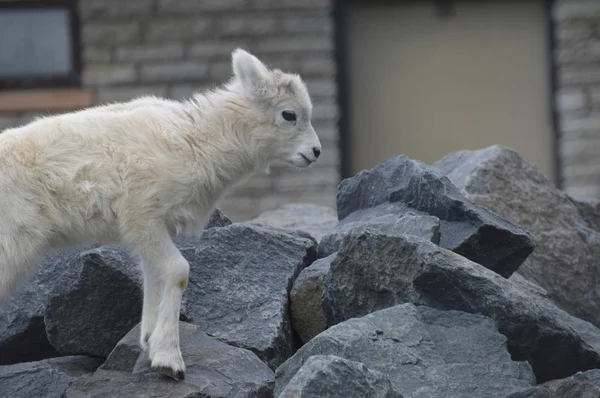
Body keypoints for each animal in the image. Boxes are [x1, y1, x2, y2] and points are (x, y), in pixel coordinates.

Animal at [0, 49, 322, 380]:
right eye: (289, 114)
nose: (315, 152)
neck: (196, 142)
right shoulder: (143, 219)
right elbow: (178, 272)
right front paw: (170, 361)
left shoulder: (151, 229)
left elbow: (154, 277)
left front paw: (150, 342)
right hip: (12, 247)